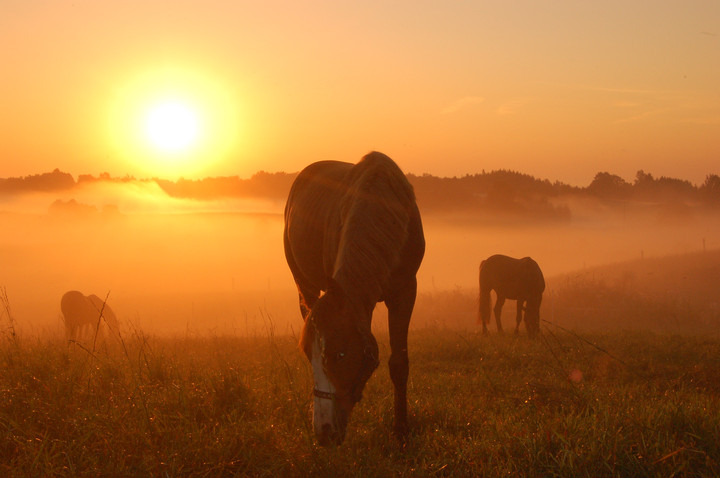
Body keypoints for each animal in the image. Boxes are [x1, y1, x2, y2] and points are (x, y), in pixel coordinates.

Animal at [284, 151, 424, 446]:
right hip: (304, 284)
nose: (324, 432)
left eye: (339, 354)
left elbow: (399, 364)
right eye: (308, 355)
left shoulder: (405, 292)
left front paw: (401, 430)